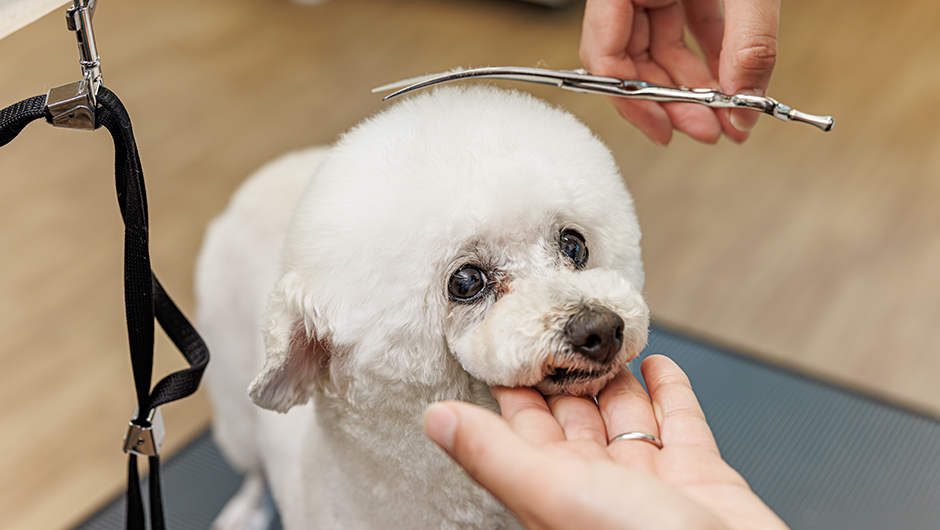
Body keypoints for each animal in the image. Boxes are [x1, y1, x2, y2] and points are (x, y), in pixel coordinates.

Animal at [196, 84, 652, 524]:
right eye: (466, 282)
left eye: (574, 245)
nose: (600, 329)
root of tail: (267, 172)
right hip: (234, 401)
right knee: (252, 466)